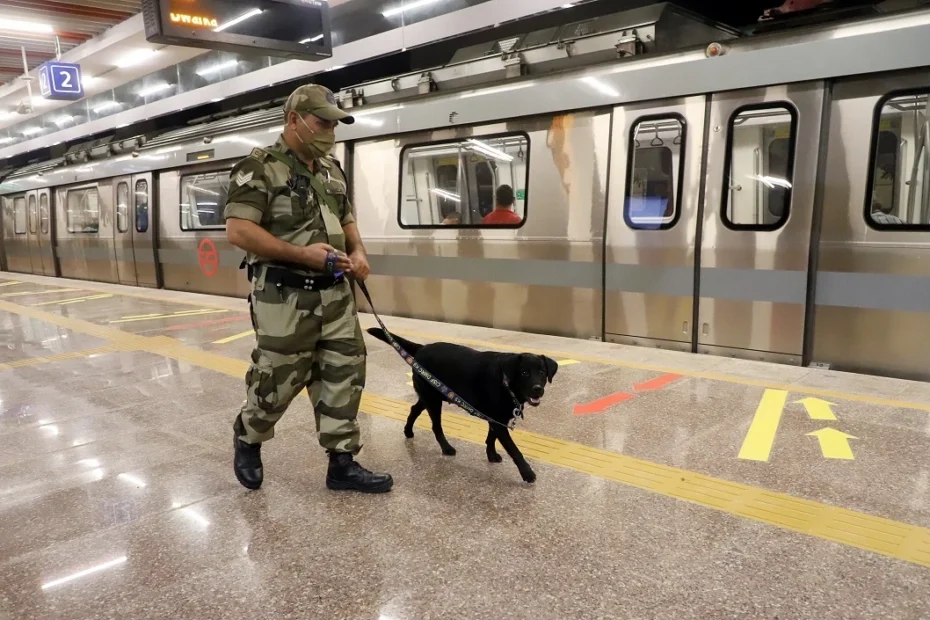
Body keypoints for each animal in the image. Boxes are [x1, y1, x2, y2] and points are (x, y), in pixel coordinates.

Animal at [364, 326, 556, 482]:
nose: (537, 389)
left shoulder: (496, 419)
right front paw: (527, 473)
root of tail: (421, 348)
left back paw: (408, 431)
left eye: (542, 372)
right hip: (433, 401)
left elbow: (491, 438)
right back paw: (446, 448)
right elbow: (514, 450)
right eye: (524, 373)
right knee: (436, 427)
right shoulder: (499, 423)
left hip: (429, 396)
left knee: (414, 409)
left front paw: (491, 455)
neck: (506, 382)